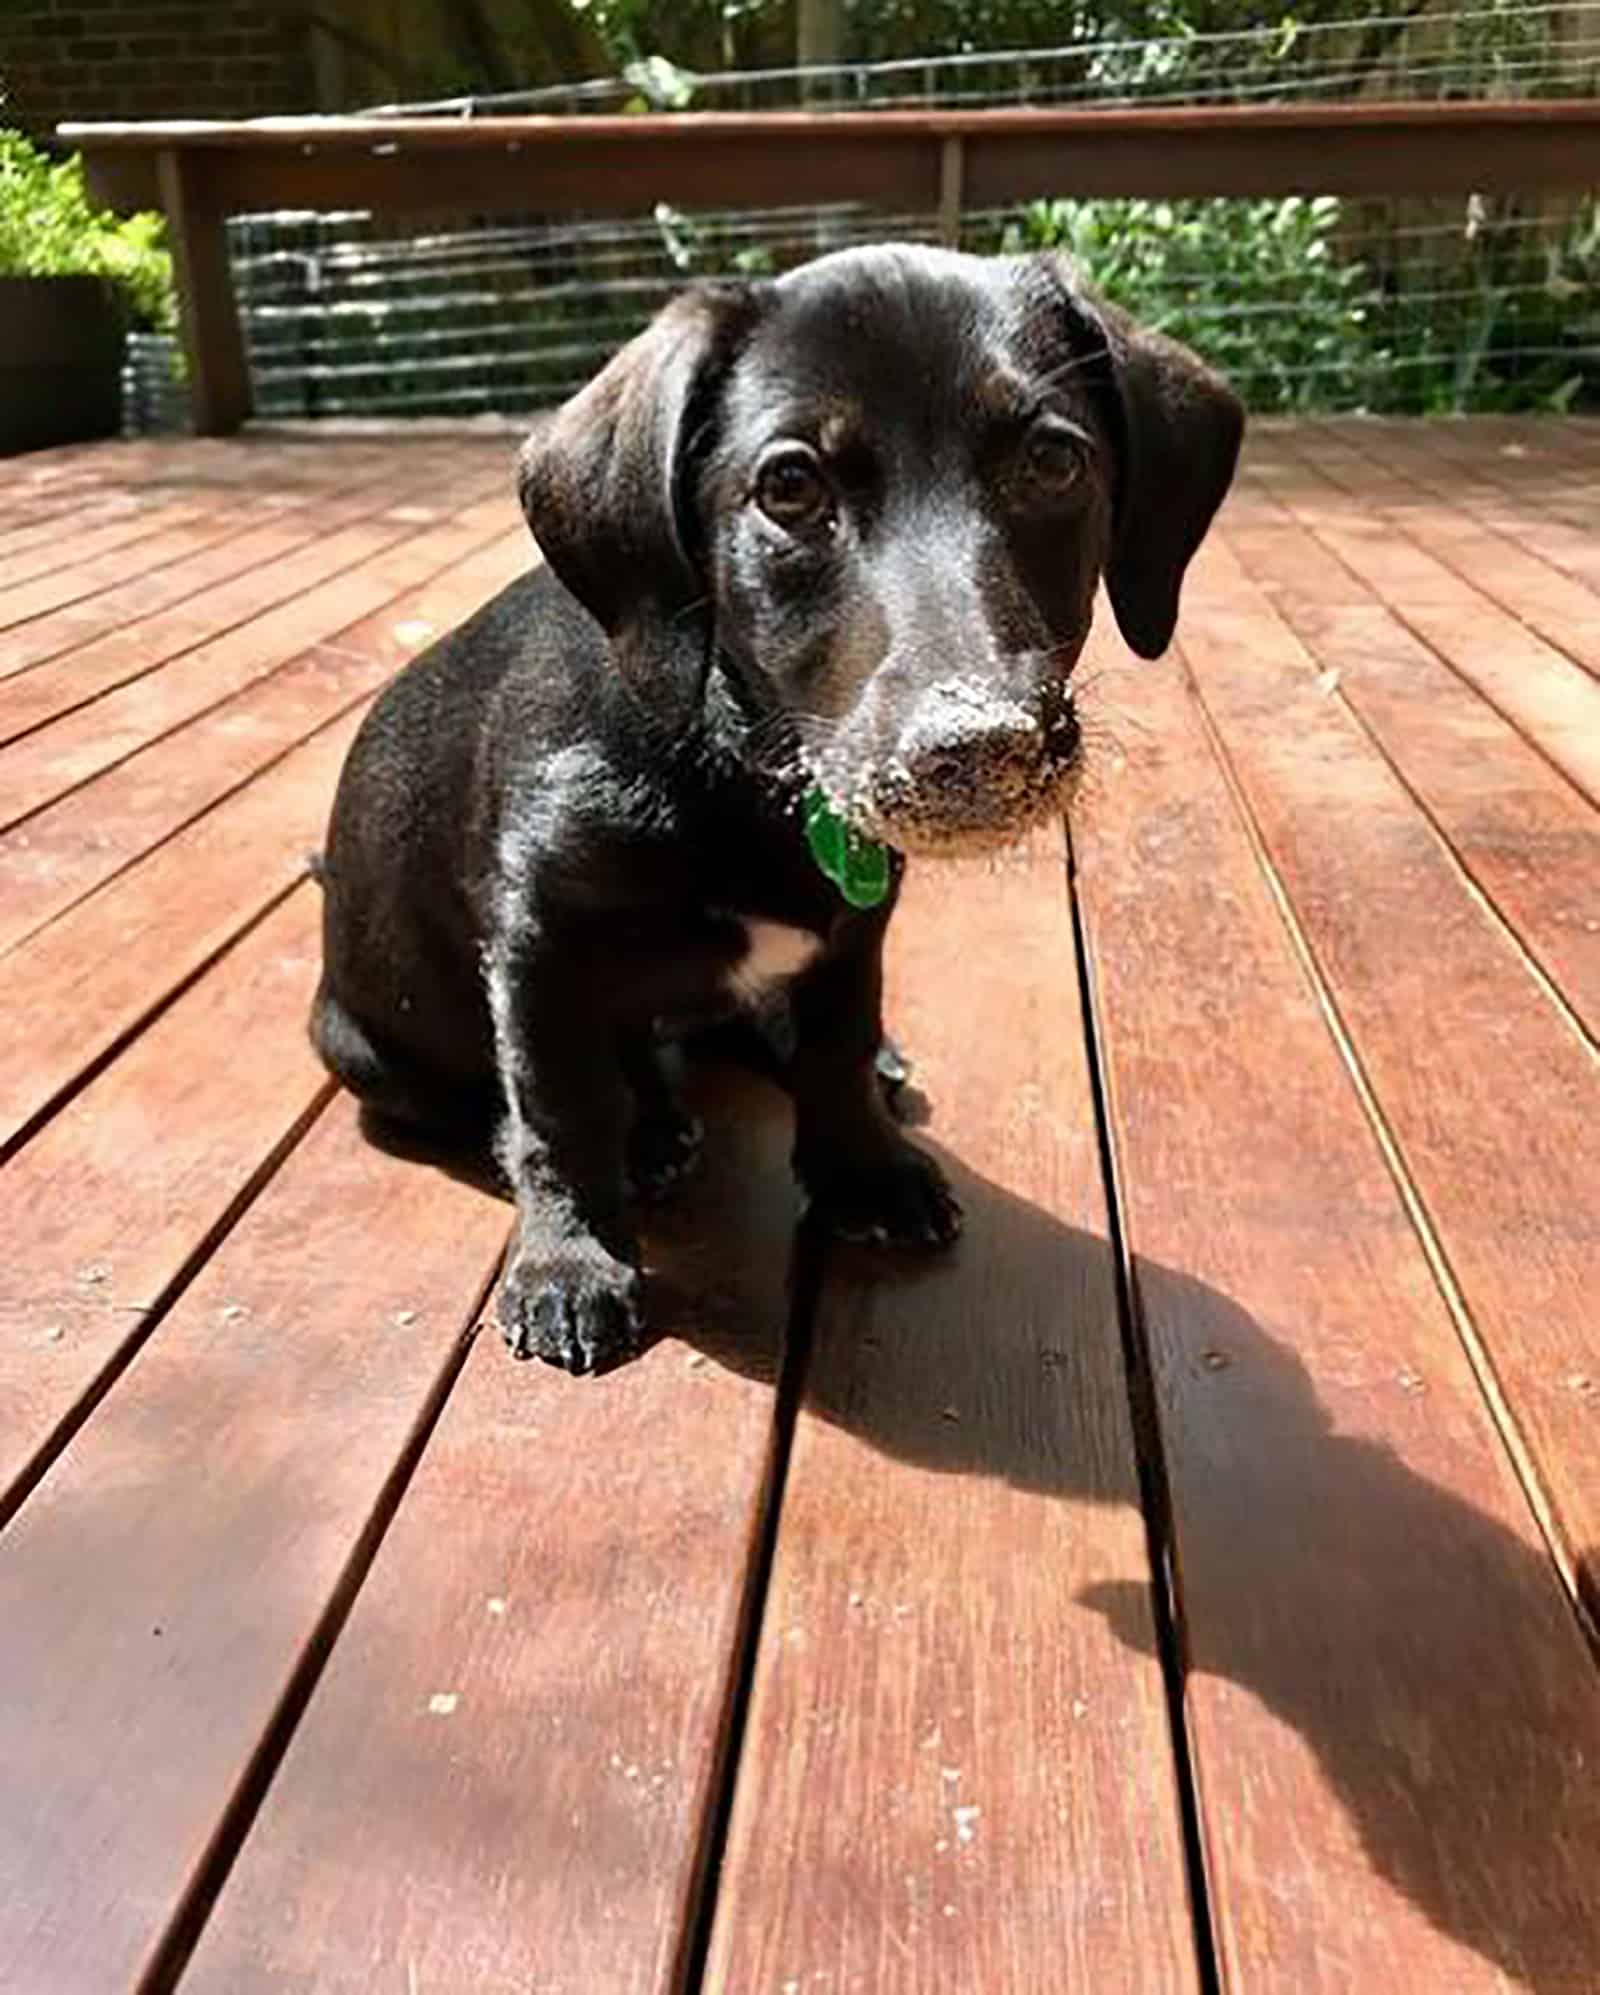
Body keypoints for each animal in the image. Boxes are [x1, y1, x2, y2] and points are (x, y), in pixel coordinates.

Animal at [305, 245, 1236, 1372]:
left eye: (1055, 461)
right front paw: (571, 1263)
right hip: (369, 1046)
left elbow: (834, 1049)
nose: (980, 747)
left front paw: (864, 1170)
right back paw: (648, 1133)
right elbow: (558, 1109)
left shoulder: (852, 932)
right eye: (789, 485)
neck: (743, 757)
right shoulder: (539, 941)